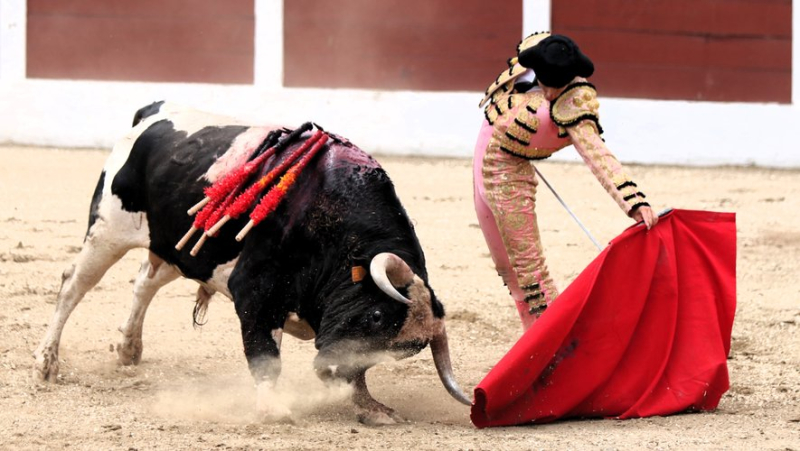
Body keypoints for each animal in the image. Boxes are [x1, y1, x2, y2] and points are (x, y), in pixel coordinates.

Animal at [34, 100, 472, 426]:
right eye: (378, 316)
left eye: (400, 350)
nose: (330, 373)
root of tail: (153, 112)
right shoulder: (257, 294)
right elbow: (265, 357)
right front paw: (274, 410)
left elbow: (354, 371)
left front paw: (370, 407)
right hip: (107, 230)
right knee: (73, 285)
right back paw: (45, 364)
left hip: (178, 247)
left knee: (145, 281)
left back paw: (128, 348)